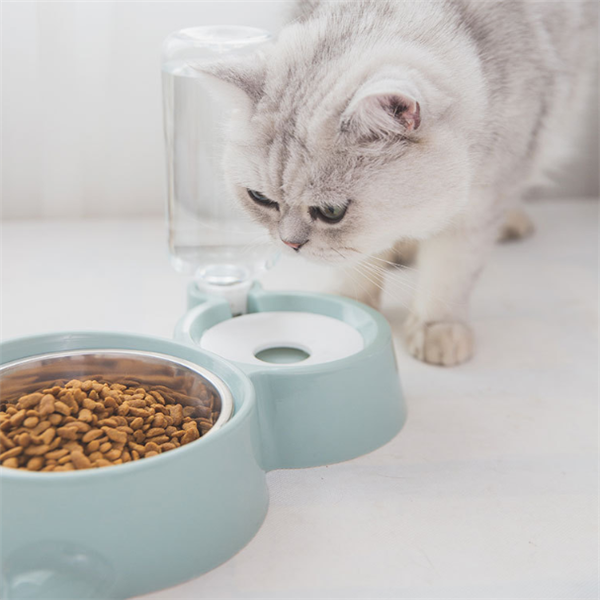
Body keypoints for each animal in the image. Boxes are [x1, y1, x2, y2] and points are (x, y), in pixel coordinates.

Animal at [196, 0, 596, 366]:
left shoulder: (481, 202)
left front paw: (438, 328)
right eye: (261, 199)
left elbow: (450, 271)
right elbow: (357, 264)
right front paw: (349, 304)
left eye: (331, 211)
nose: (289, 244)